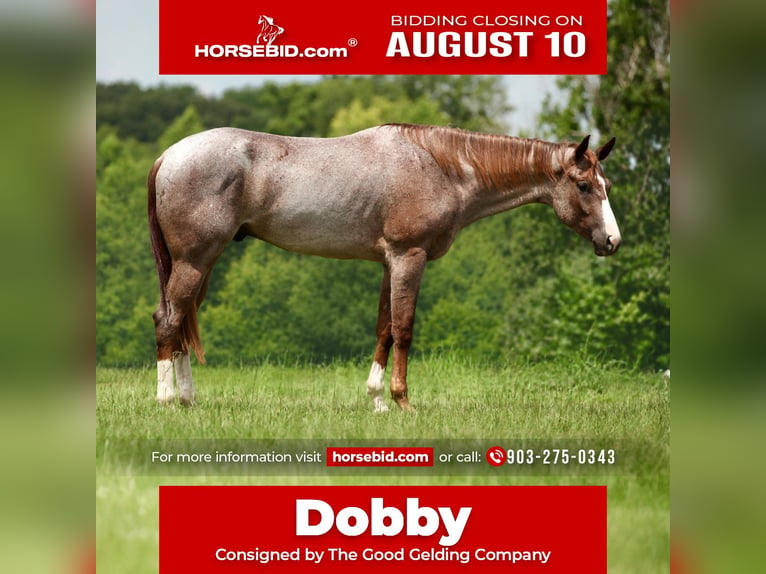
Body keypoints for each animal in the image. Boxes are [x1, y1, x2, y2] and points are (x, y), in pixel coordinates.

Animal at [148, 124, 620, 411]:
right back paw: (167, 400)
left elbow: (384, 328)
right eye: (583, 185)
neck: (440, 167)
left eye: (607, 185)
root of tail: (168, 156)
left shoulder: (389, 263)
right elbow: (404, 329)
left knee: (182, 320)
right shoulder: (409, 256)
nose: (612, 241)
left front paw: (376, 400)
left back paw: (187, 398)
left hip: (202, 264)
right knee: (167, 319)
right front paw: (402, 400)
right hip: (194, 260)